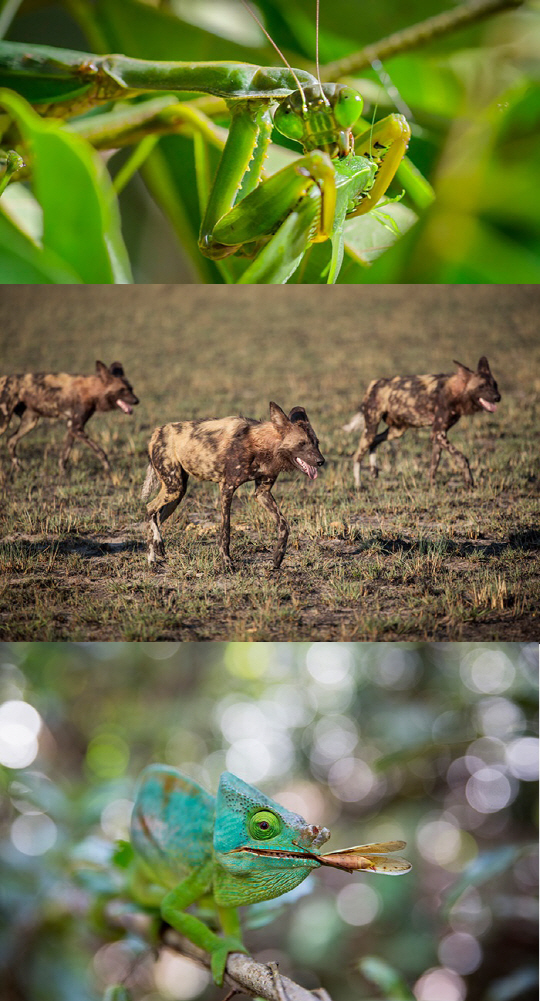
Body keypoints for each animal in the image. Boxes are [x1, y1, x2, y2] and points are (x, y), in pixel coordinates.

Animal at [0, 362, 140, 474]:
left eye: (131, 389)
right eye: (122, 390)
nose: (137, 400)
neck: (93, 390)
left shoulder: (72, 427)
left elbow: (65, 454)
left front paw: (63, 472)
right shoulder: (76, 428)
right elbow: (100, 451)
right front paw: (108, 469)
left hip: (30, 422)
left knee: (11, 440)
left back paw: (19, 468)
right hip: (5, 421)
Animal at [141, 400, 324, 572]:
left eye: (316, 443)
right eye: (302, 443)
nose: (321, 461)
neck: (261, 445)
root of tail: (157, 431)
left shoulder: (262, 492)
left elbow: (284, 524)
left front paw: (278, 557)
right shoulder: (227, 488)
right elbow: (225, 531)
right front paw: (227, 563)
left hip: (177, 492)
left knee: (156, 515)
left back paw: (157, 548)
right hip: (174, 487)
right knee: (149, 507)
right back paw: (152, 557)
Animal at [346, 356, 502, 488]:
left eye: (495, 385)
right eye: (482, 386)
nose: (498, 397)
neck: (456, 391)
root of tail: (375, 383)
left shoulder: (439, 434)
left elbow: (434, 464)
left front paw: (432, 486)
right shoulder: (438, 434)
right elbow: (462, 458)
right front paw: (469, 482)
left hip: (397, 431)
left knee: (375, 442)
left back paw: (374, 470)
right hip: (371, 428)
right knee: (357, 454)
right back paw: (358, 485)